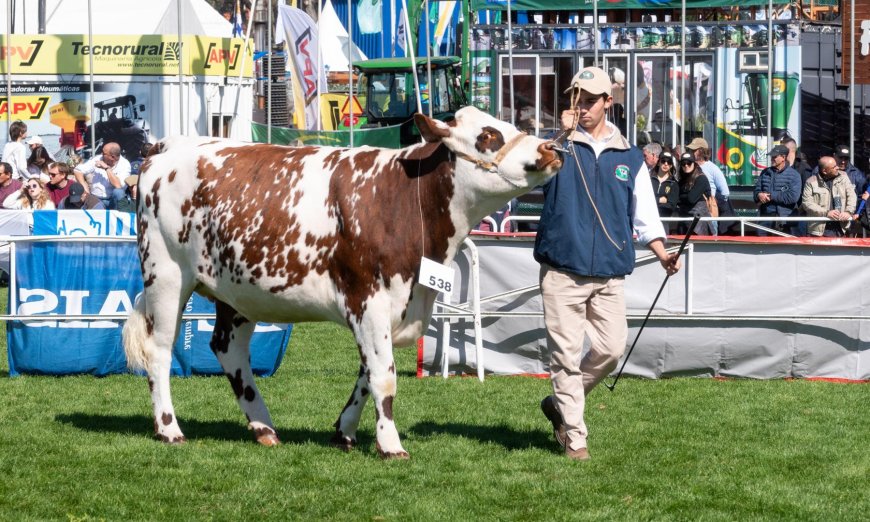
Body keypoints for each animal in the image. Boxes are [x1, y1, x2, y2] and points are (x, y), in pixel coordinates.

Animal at [122, 105, 564, 456]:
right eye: (488, 136)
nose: (550, 148)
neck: (403, 200)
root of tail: (167, 146)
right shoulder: (367, 298)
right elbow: (383, 376)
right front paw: (390, 445)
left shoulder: (391, 306)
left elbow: (368, 373)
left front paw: (344, 432)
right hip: (165, 276)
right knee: (160, 350)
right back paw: (169, 429)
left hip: (236, 291)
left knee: (228, 350)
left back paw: (264, 428)